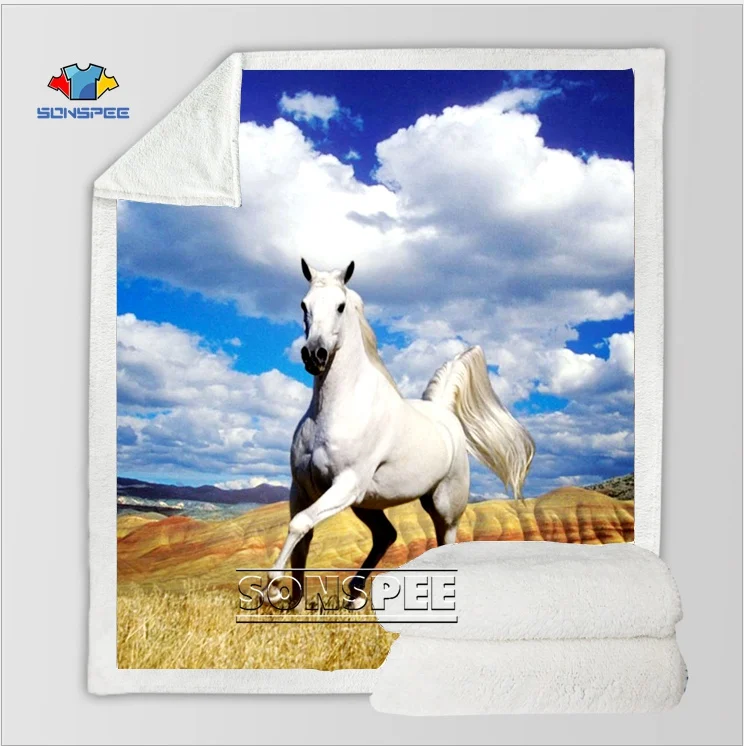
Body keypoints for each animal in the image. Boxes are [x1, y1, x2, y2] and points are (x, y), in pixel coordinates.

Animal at [267, 259, 535, 608]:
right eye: (304, 305)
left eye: (340, 306)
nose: (315, 354)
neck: (334, 410)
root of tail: (444, 413)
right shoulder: (302, 488)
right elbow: (302, 537)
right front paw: (293, 605)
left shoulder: (345, 484)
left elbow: (299, 525)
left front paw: (273, 588)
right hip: (368, 504)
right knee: (386, 535)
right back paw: (354, 598)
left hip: (444, 507)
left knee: (443, 543)